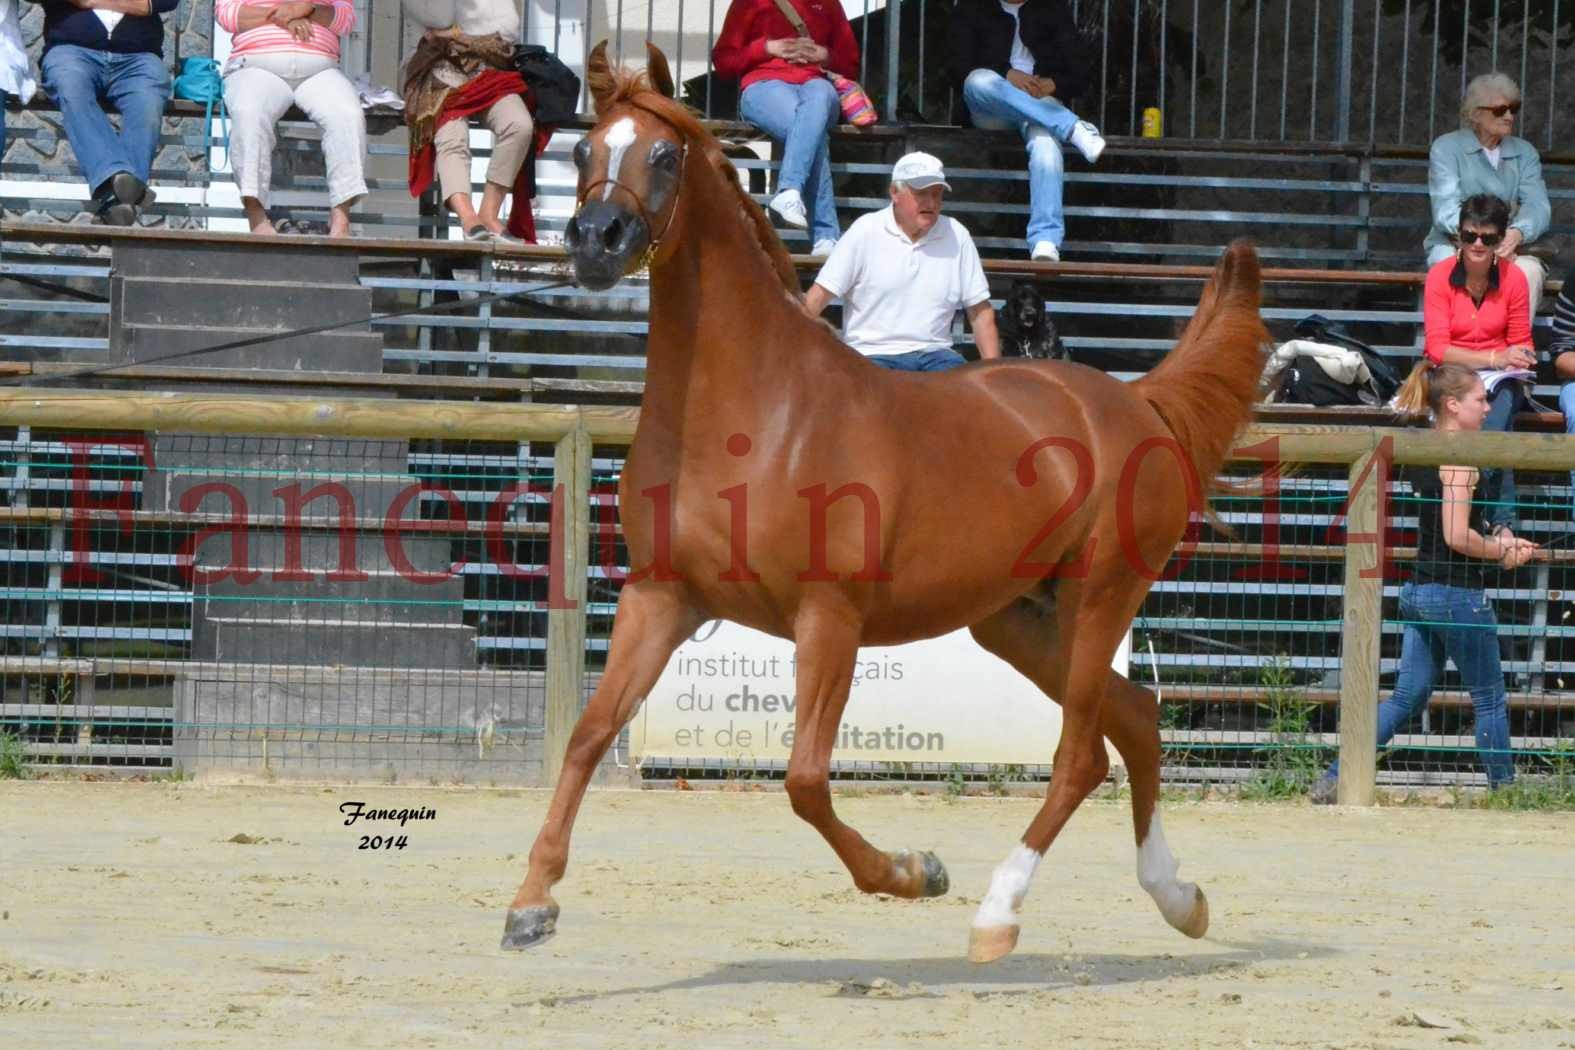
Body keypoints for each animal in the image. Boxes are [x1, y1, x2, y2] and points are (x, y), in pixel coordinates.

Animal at [504, 43, 1266, 963]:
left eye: (662, 154)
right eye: (583, 149)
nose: (593, 241)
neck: (757, 410)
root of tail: (1134, 402)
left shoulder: (828, 618)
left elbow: (803, 781)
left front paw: (913, 872)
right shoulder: (662, 597)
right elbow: (587, 735)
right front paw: (531, 904)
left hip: (1099, 598)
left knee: (1081, 754)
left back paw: (996, 915)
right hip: (1016, 621)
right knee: (1137, 721)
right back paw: (1178, 899)